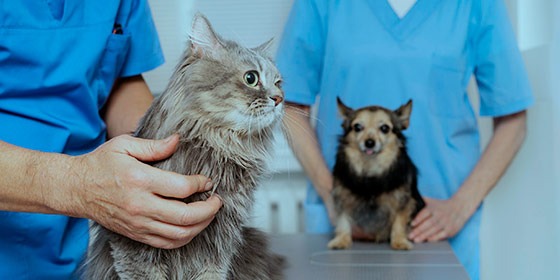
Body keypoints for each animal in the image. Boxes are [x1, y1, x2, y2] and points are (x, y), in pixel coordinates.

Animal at [328, 97, 424, 250]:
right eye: (357, 127)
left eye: (384, 128)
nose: (369, 142)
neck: (371, 168)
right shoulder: (342, 197)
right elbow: (343, 220)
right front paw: (341, 240)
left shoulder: (404, 201)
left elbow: (399, 221)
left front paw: (399, 241)